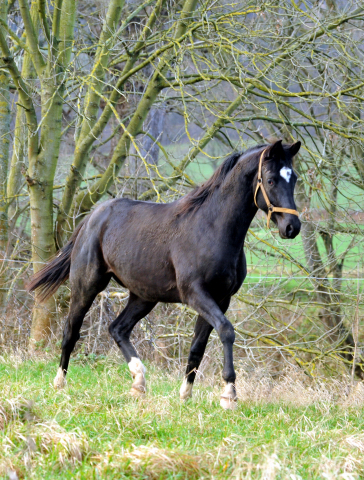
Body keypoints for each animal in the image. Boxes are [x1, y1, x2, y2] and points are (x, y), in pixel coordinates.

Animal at [27, 139, 302, 408]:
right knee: (71, 331)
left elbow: (197, 346)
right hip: (87, 286)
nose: (292, 227)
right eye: (271, 179)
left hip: (144, 296)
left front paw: (185, 395)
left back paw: (139, 382)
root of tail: (92, 217)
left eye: (294, 178)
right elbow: (226, 330)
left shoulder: (221, 299)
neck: (211, 229)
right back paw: (60, 383)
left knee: (117, 329)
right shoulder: (195, 294)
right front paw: (229, 395)